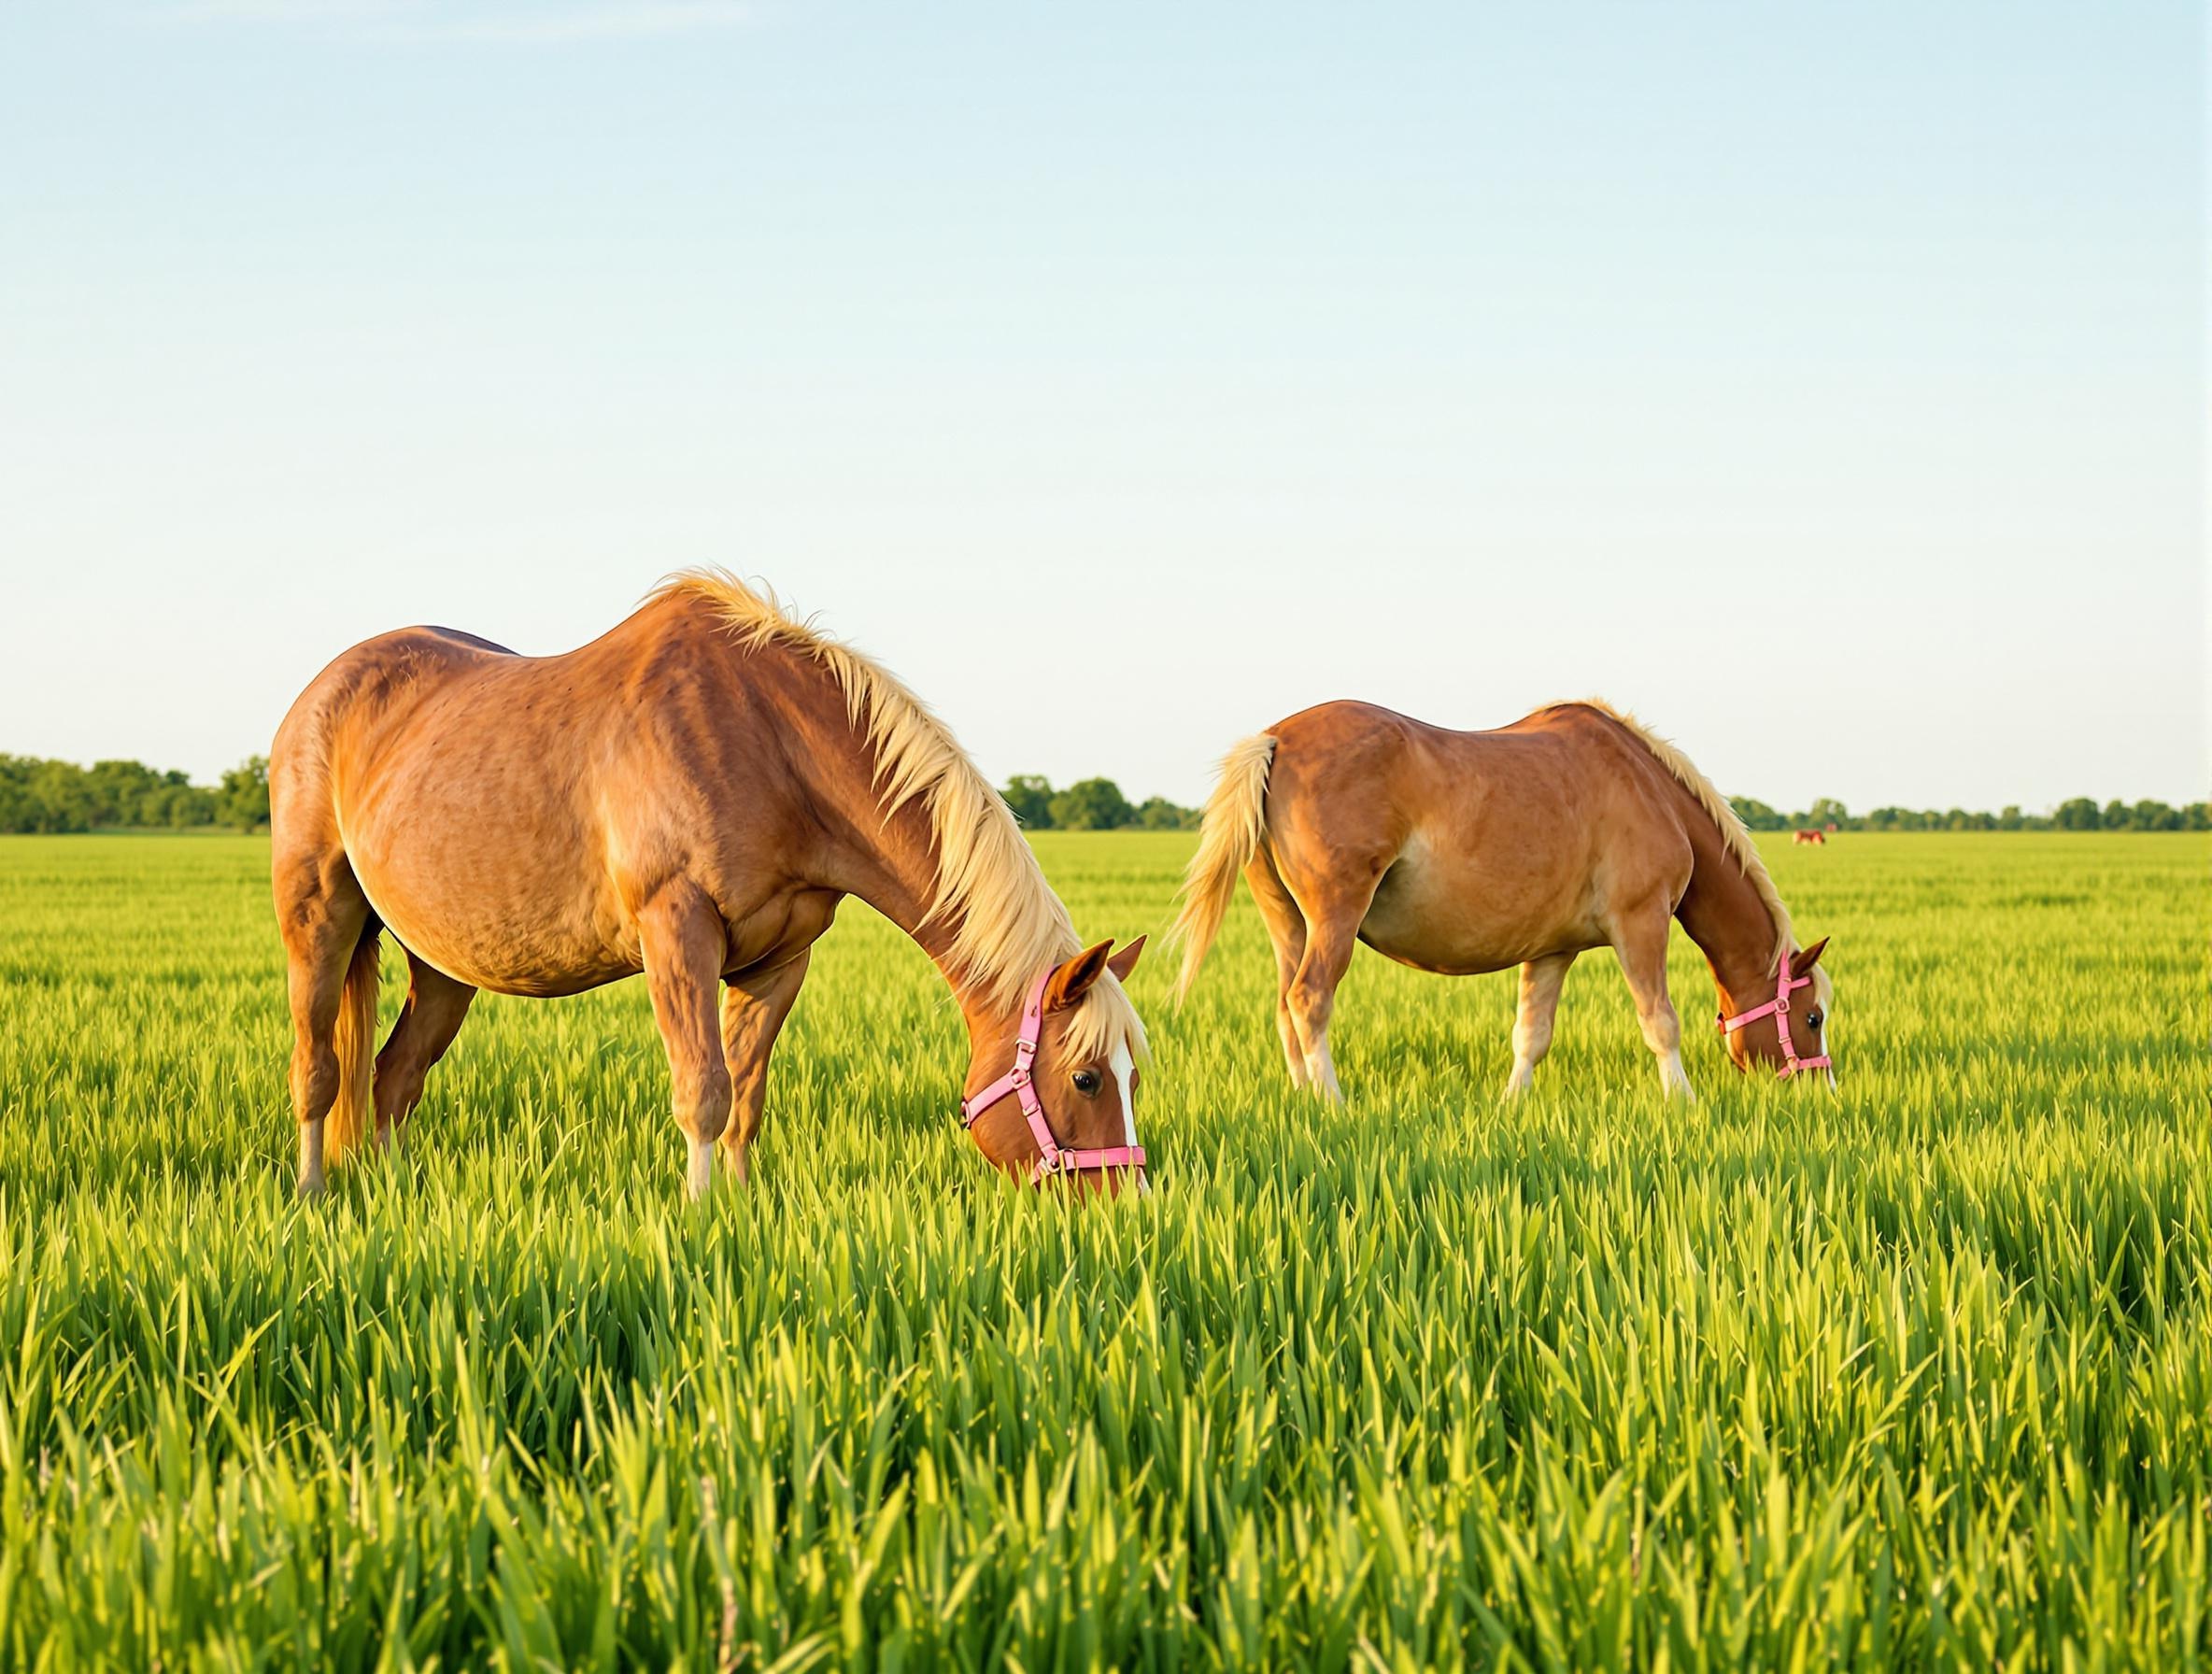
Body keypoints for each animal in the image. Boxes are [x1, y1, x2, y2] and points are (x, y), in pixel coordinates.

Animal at [267, 575, 1150, 1202]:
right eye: (1086, 1077)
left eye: (1134, 1074)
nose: (1128, 1207)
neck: (770, 741)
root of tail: (321, 693)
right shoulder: (677, 929)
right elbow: (704, 1091)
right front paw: (697, 1226)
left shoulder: (779, 960)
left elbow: (747, 1099)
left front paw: (739, 1212)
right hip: (319, 918)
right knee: (317, 1068)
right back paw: (313, 1197)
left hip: (445, 965)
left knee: (392, 1079)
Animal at [1176, 702, 1831, 1105]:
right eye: (1813, 1018)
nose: (1819, 1092)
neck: (1649, 789)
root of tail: (1277, 739)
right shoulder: (1641, 924)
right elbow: (1661, 1023)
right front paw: (1684, 1101)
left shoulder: (1552, 951)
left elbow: (1531, 1034)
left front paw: (1511, 1104)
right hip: (1334, 917)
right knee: (1310, 999)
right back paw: (1334, 1103)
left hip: (1288, 922)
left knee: (1285, 1008)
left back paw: (1305, 1099)